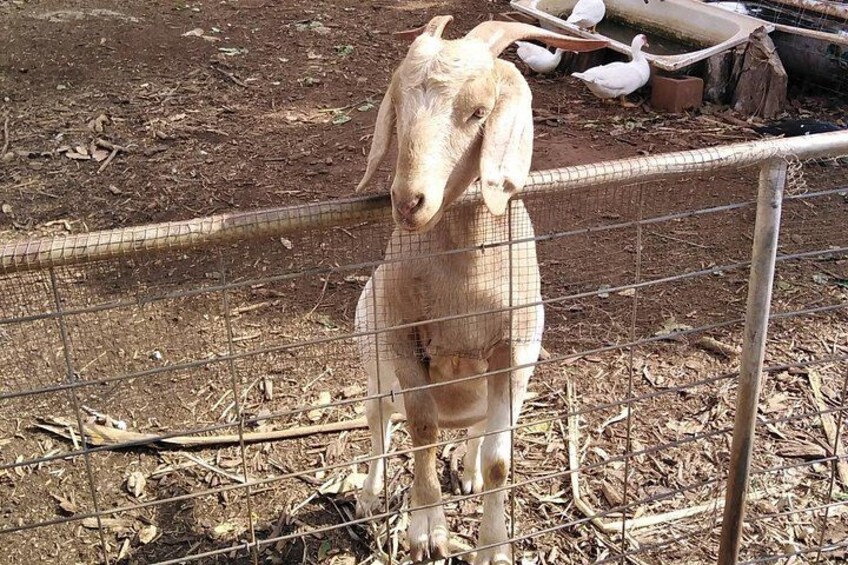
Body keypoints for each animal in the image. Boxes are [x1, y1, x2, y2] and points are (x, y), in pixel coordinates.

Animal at [353, 17, 606, 564]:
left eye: (479, 112)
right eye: (398, 106)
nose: (408, 201)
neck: (463, 287)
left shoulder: (513, 352)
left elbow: (499, 460)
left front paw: (493, 546)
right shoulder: (403, 337)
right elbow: (422, 432)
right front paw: (426, 529)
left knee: (475, 431)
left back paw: (465, 474)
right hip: (373, 363)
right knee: (380, 425)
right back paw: (367, 496)